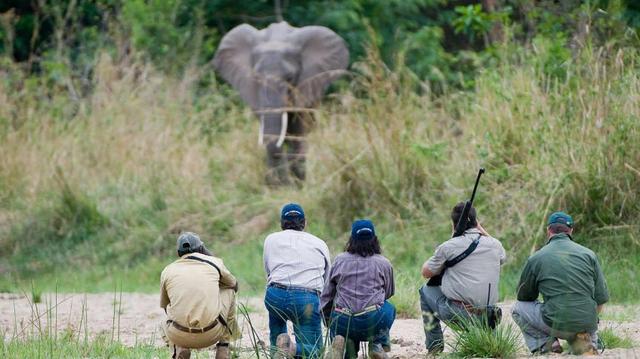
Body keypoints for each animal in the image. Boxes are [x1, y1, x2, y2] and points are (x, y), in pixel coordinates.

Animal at [212, 20, 348, 186]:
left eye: (290, 78)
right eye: (256, 77)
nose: (280, 183)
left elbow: (297, 133)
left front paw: (295, 186)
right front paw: (278, 186)